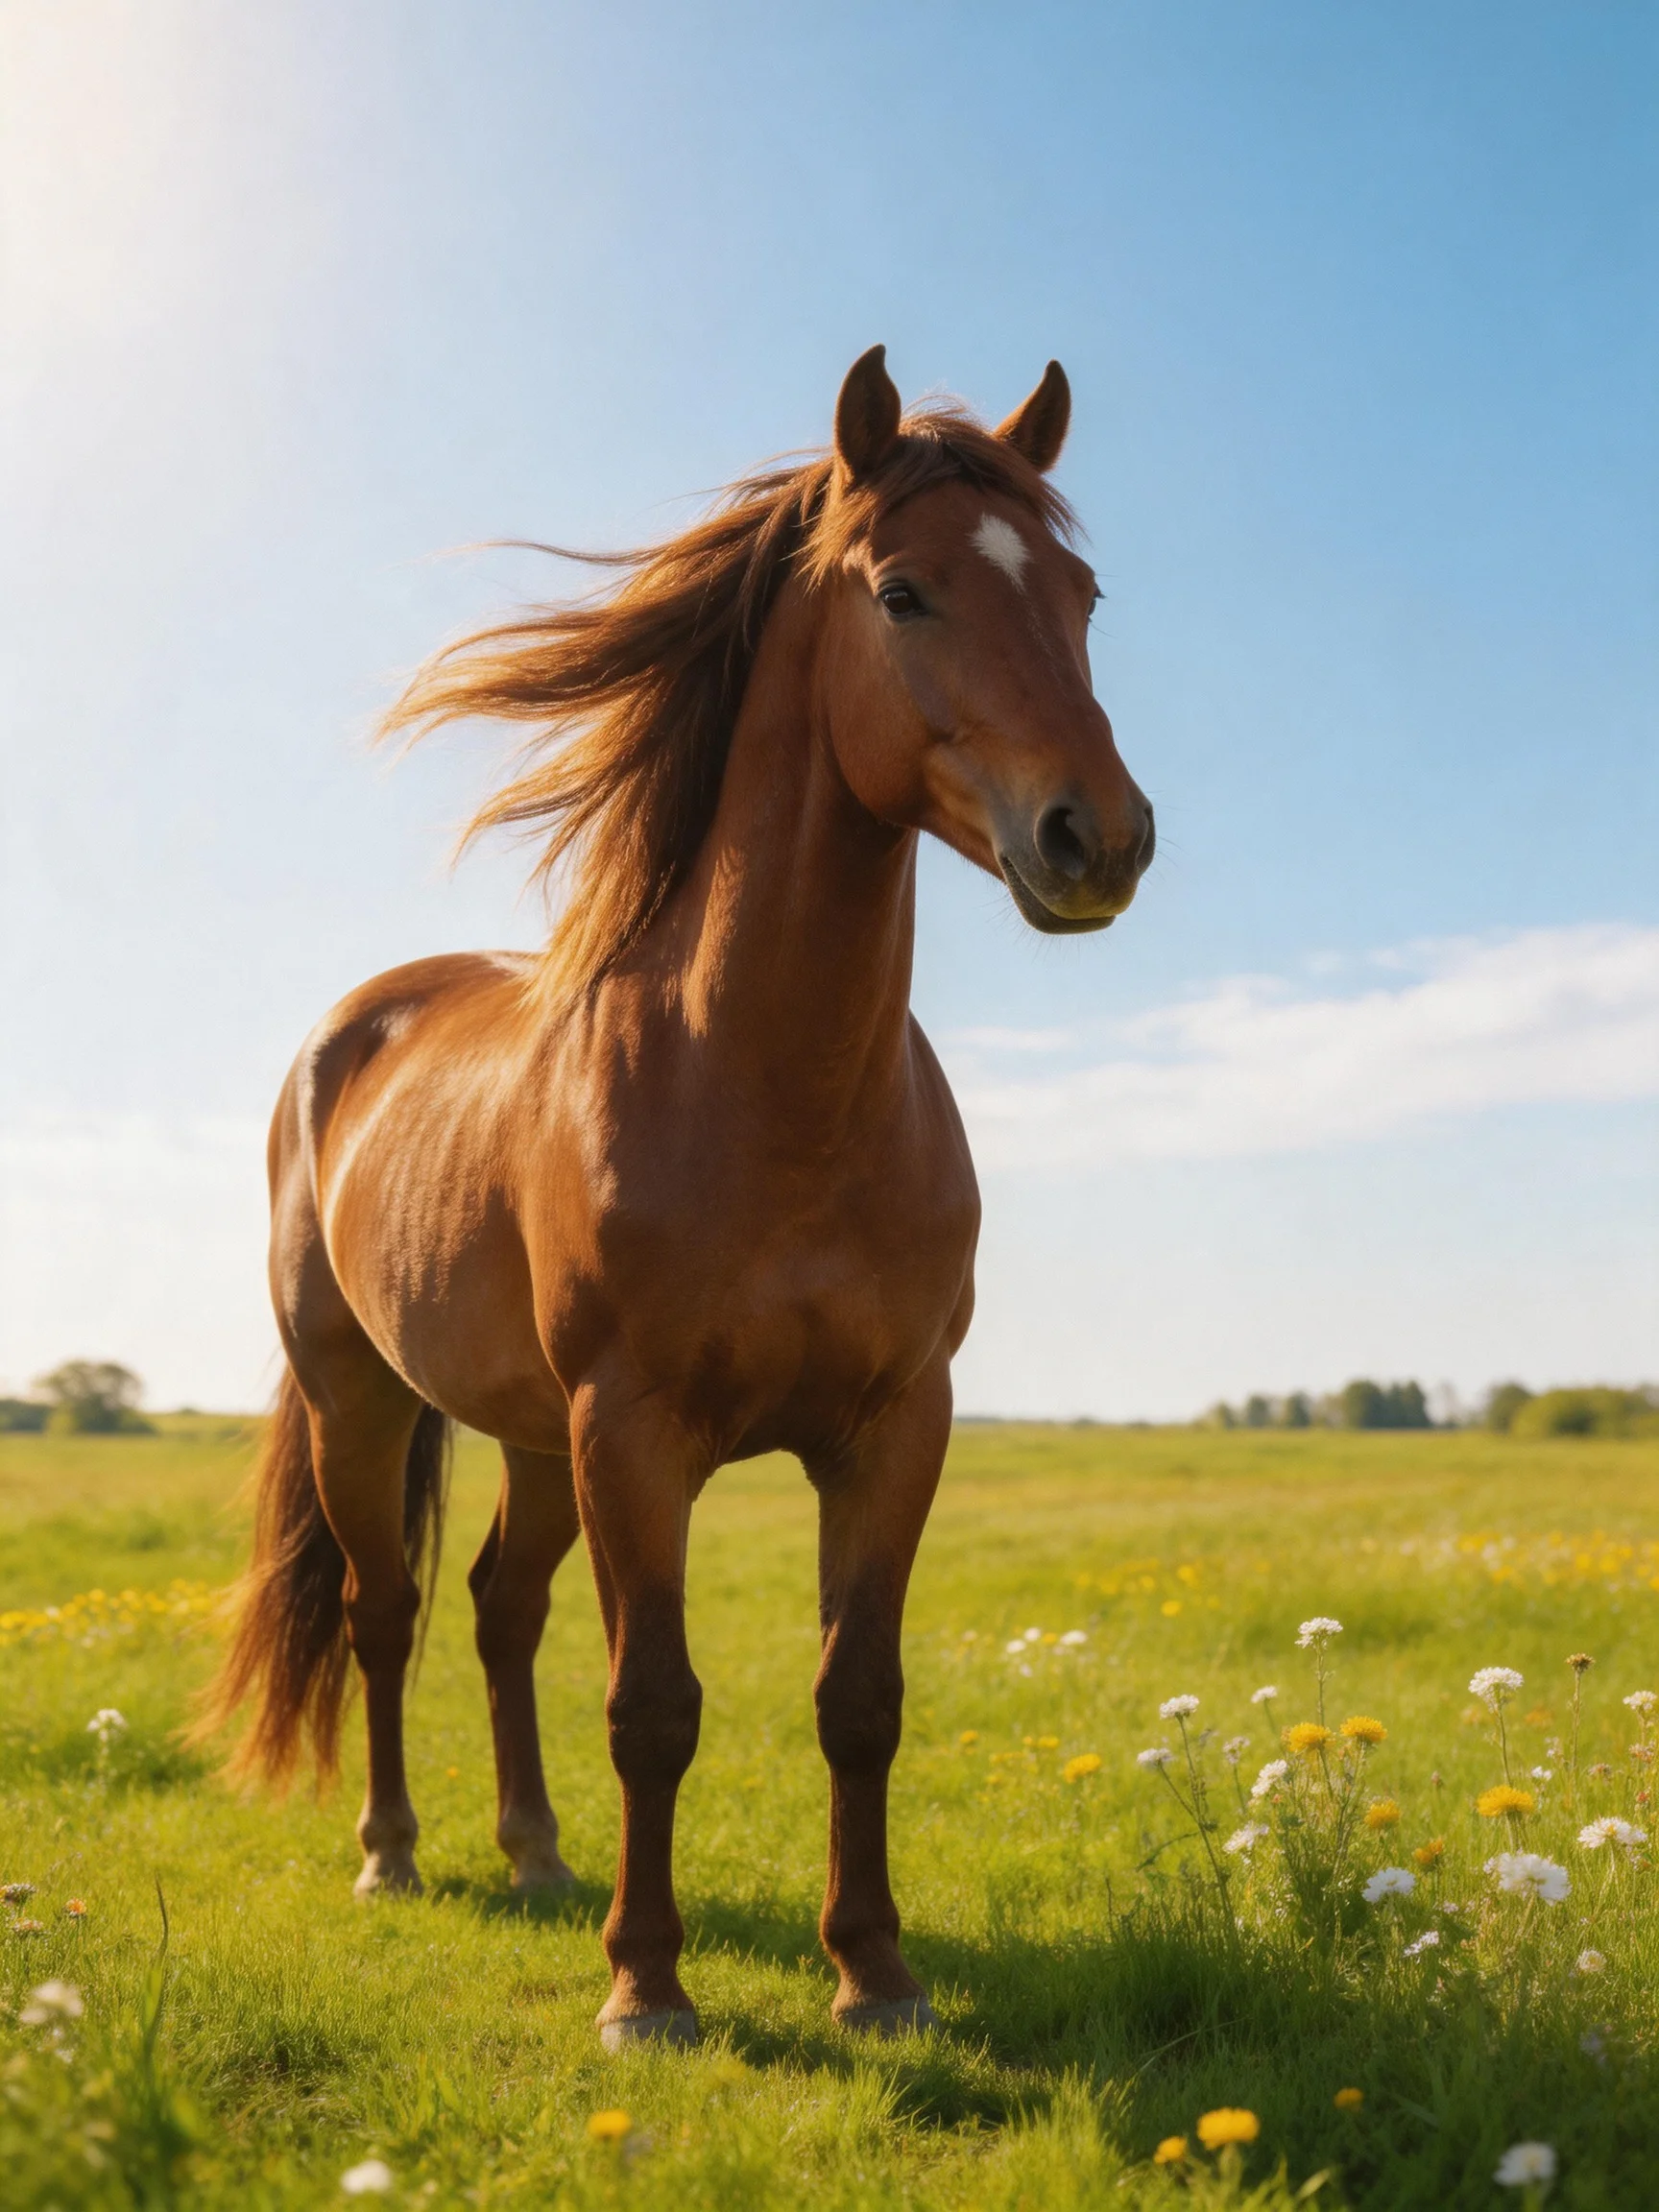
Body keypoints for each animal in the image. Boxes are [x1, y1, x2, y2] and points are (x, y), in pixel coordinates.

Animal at [198, 346, 1154, 2047]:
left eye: (1084, 595)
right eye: (903, 592)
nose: (1096, 838)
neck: (773, 1093)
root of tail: (353, 1029)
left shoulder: (894, 1427)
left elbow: (859, 1701)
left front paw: (877, 1977)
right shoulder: (634, 1432)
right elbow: (653, 1706)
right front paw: (648, 1989)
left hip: (529, 1435)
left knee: (500, 1605)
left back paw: (535, 1855)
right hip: (368, 1404)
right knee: (388, 1612)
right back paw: (395, 1854)